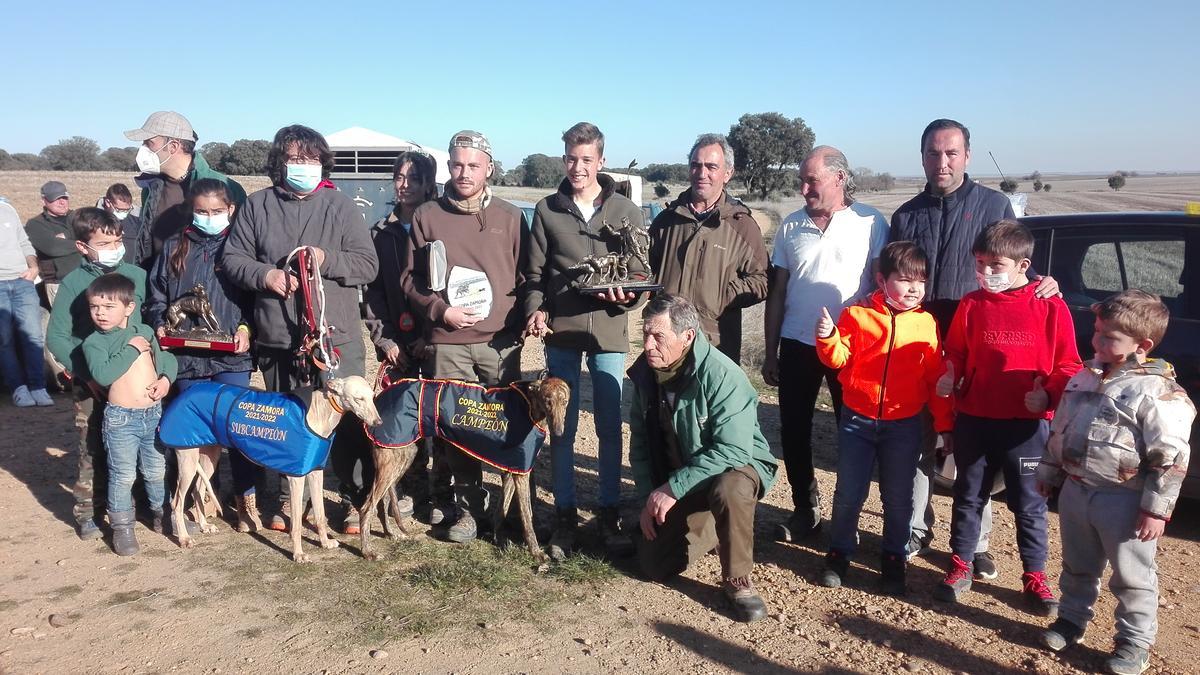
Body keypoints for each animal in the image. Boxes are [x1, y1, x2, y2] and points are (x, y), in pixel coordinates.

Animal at [162, 374, 381, 559]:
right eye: (358, 399)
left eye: (372, 397)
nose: (378, 422)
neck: (318, 412)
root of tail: (187, 391)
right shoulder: (296, 477)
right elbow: (296, 523)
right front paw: (298, 554)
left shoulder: (315, 473)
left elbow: (320, 514)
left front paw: (325, 543)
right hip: (187, 459)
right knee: (177, 501)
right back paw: (184, 538)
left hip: (209, 455)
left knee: (197, 490)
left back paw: (204, 525)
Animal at [357, 374, 568, 559]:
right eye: (548, 400)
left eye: (565, 402)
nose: (559, 432)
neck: (527, 405)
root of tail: (377, 398)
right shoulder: (521, 473)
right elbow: (527, 519)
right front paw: (537, 553)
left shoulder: (510, 471)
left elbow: (501, 512)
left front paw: (499, 541)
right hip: (393, 460)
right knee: (366, 508)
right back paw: (368, 552)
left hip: (401, 456)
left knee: (381, 502)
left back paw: (390, 533)